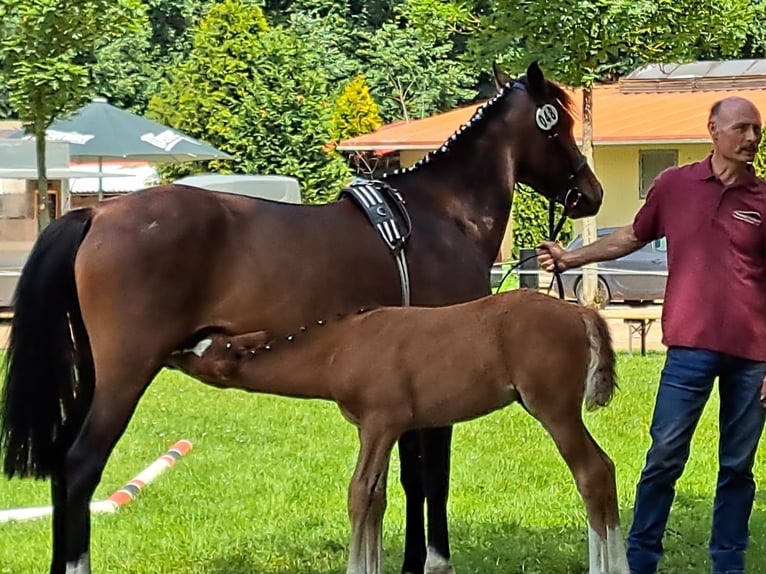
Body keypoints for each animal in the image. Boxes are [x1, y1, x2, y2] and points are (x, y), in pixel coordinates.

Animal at [171, 290, 632, 574]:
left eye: (203, 350)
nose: (174, 350)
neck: (339, 350)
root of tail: (581, 311)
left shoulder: (382, 421)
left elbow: (359, 494)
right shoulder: (379, 429)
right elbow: (377, 498)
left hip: (554, 409)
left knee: (592, 473)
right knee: (603, 469)